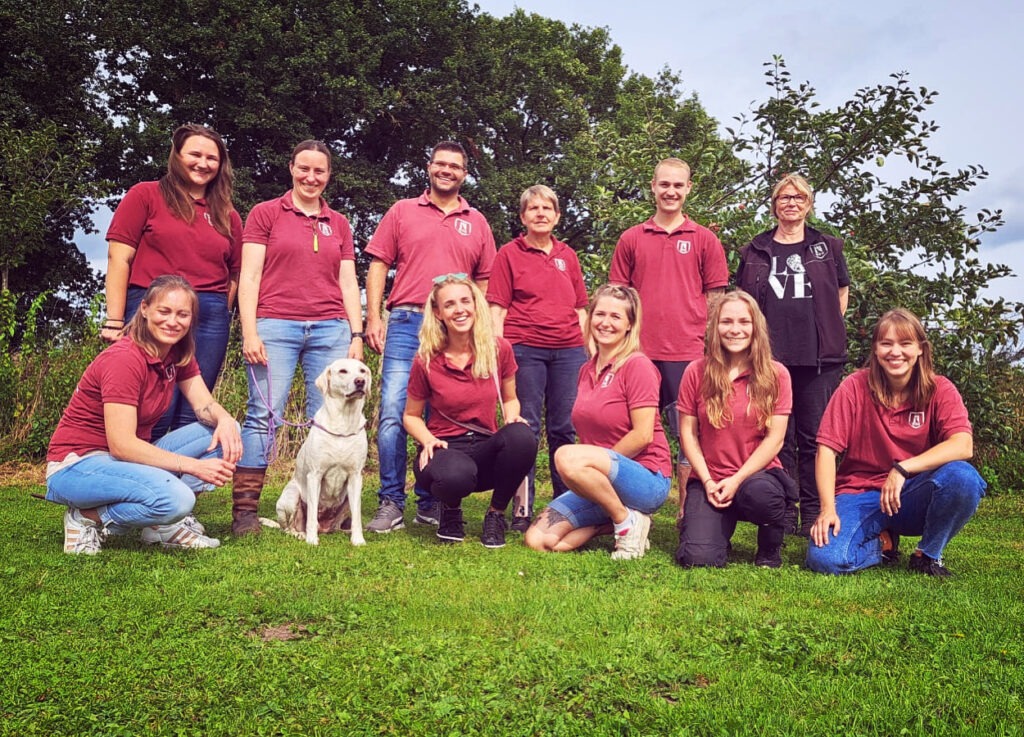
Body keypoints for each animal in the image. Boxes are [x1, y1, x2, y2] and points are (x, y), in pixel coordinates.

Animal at [262, 360, 370, 544]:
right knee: (288, 528)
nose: (360, 381)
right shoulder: (315, 475)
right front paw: (312, 540)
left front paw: (358, 540)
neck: (344, 421)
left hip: (346, 501)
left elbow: (357, 516)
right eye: (343, 371)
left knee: (337, 525)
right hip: (291, 496)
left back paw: (344, 531)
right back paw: (301, 534)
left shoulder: (356, 477)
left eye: (362, 371)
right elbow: (311, 515)